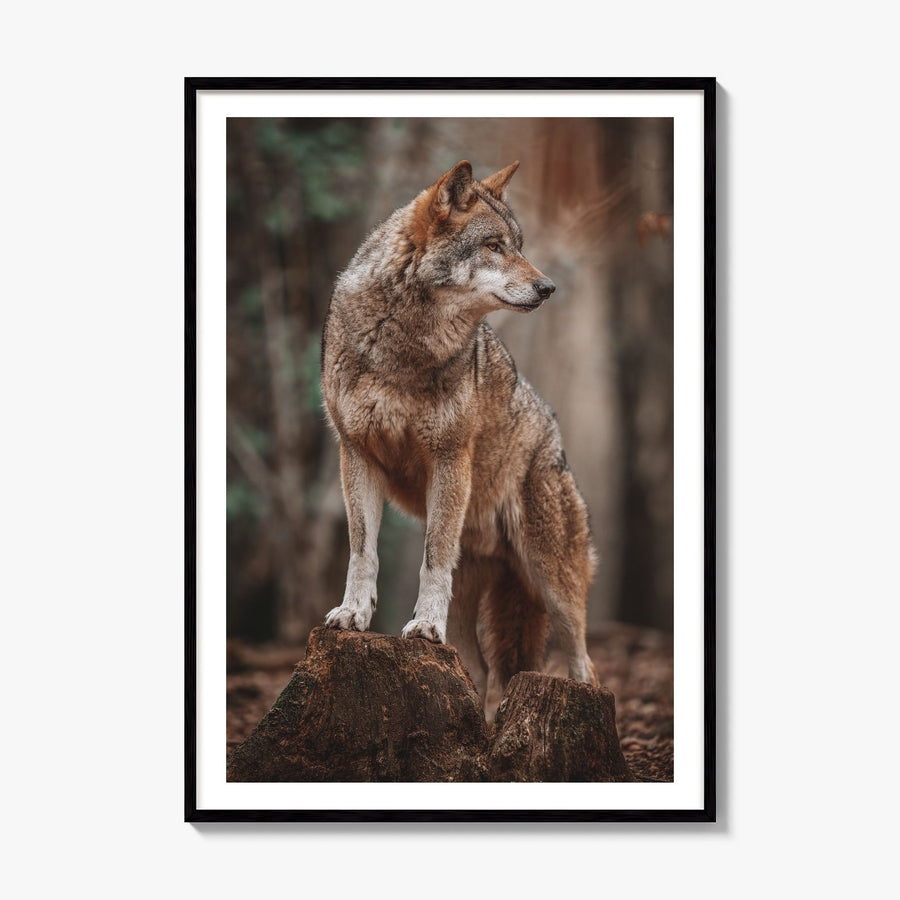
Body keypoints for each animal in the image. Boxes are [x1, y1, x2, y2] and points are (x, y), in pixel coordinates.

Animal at [321, 160, 598, 711]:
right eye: (494, 246)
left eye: (518, 244)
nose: (549, 287)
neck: (404, 342)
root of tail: (555, 438)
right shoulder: (356, 453)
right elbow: (363, 550)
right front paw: (354, 615)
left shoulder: (448, 457)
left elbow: (432, 557)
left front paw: (425, 626)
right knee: (484, 671)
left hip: (551, 578)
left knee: (584, 661)